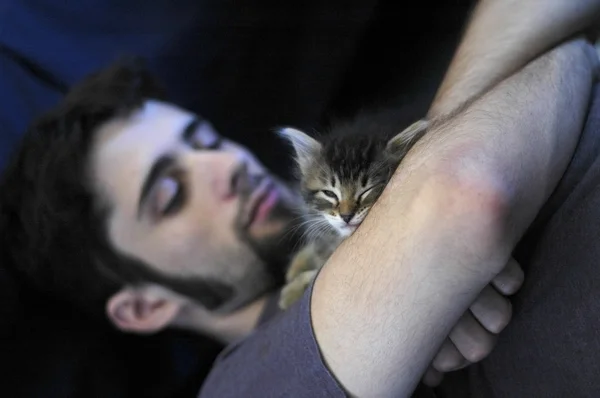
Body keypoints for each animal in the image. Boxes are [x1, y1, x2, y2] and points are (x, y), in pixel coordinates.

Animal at [276, 110, 426, 310]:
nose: (346, 216)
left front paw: (292, 291)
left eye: (367, 190)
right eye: (329, 193)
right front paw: (298, 263)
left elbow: (316, 272)